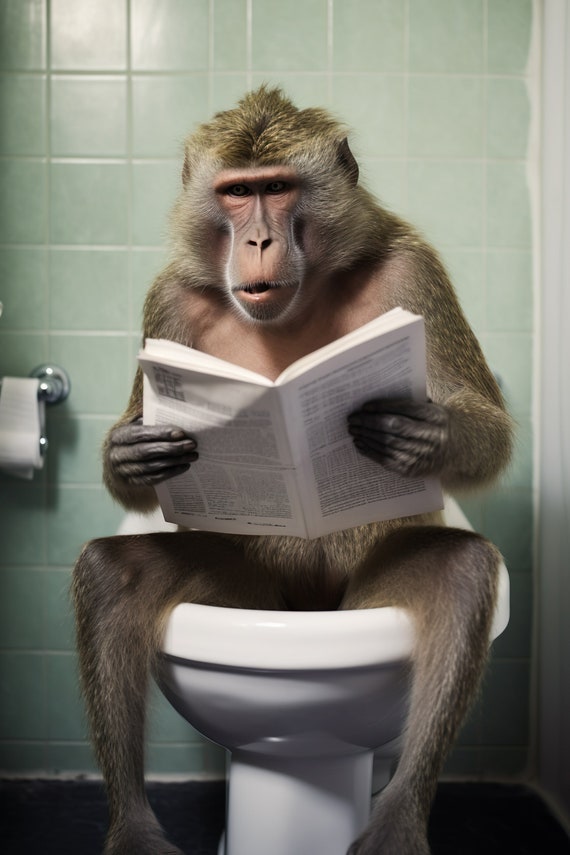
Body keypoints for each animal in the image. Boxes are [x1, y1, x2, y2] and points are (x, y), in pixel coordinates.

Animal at [72, 86, 513, 855]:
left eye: (276, 189)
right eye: (236, 192)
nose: (257, 242)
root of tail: (306, 611)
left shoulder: (415, 271)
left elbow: (483, 423)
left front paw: (425, 435)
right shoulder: (167, 301)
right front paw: (136, 449)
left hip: (354, 612)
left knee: (459, 576)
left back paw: (396, 824)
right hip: (250, 602)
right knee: (111, 575)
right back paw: (133, 831)